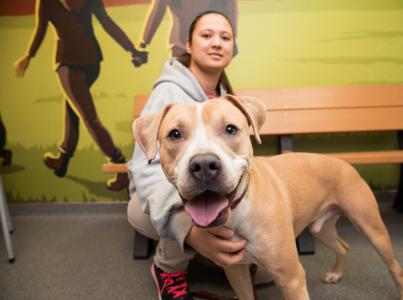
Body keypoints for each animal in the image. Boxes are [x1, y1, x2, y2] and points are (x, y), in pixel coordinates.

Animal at [134, 95, 403, 298]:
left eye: (230, 129)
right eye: (175, 134)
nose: (204, 165)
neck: (239, 210)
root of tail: (342, 162)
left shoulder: (292, 278)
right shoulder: (237, 272)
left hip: (371, 227)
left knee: (394, 266)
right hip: (321, 228)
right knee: (344, 246)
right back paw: (336, 273)